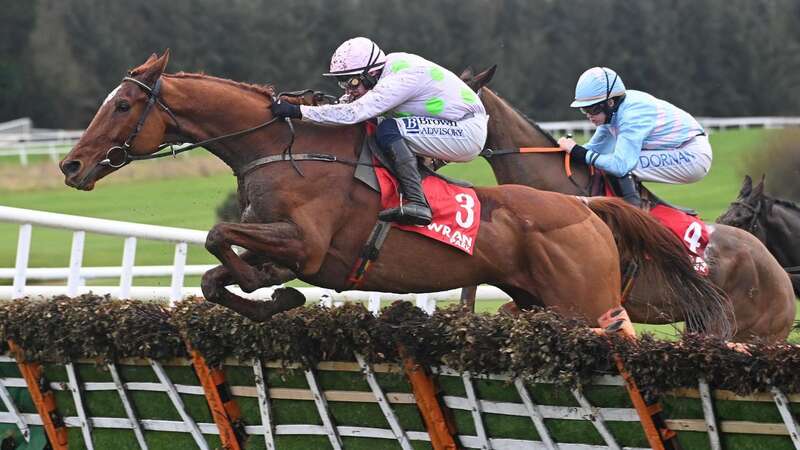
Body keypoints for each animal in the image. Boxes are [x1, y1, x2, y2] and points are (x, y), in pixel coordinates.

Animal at [61, 51, 724, 334]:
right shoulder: (281, 244)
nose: (71, 164)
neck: (285, 148)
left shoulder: (306, 244)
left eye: (122, 106)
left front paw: (268, 291)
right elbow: (211, 276)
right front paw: (273, 298)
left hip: (587, 302)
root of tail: (586, 208)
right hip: (540, 302)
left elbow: (218, 235)